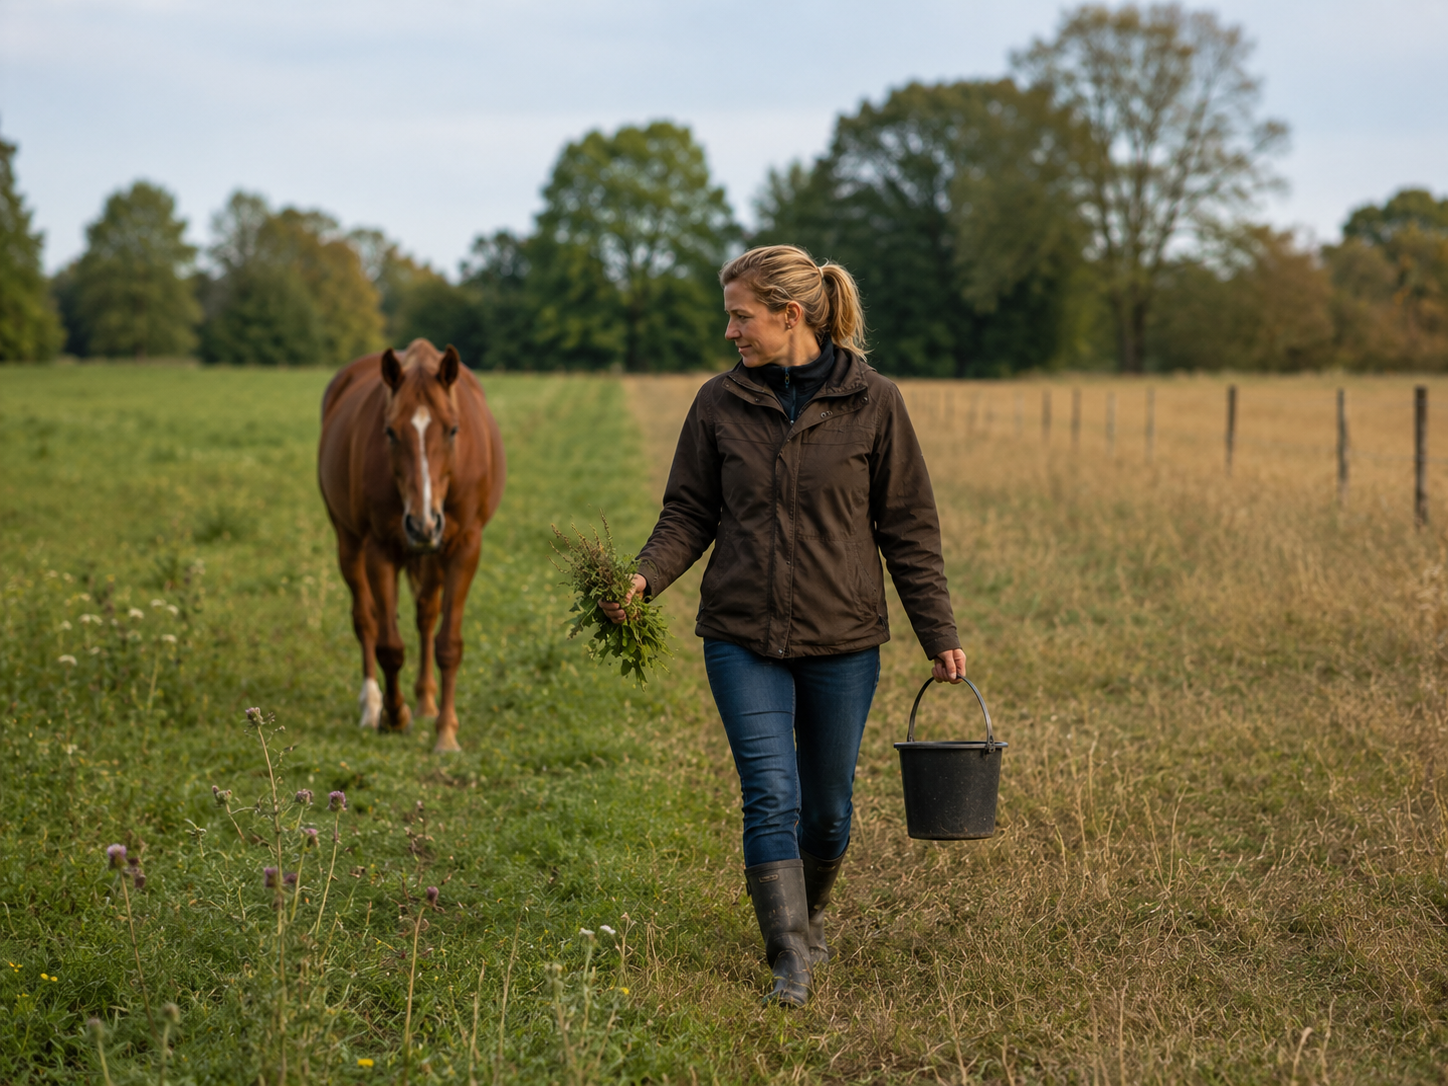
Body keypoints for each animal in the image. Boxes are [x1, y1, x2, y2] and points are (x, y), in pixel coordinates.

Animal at [318, 339, 505, 752]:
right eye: (389, 431)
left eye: (453, 430)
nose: (422, 524)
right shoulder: (380, 548)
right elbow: (389, 646)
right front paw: (394, 716)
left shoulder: (465, 547)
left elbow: (448, 643)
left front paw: (446, 732)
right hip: (349, 542)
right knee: (365, 620)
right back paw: (372, 706)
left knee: (425, 616)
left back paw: (426, 703)